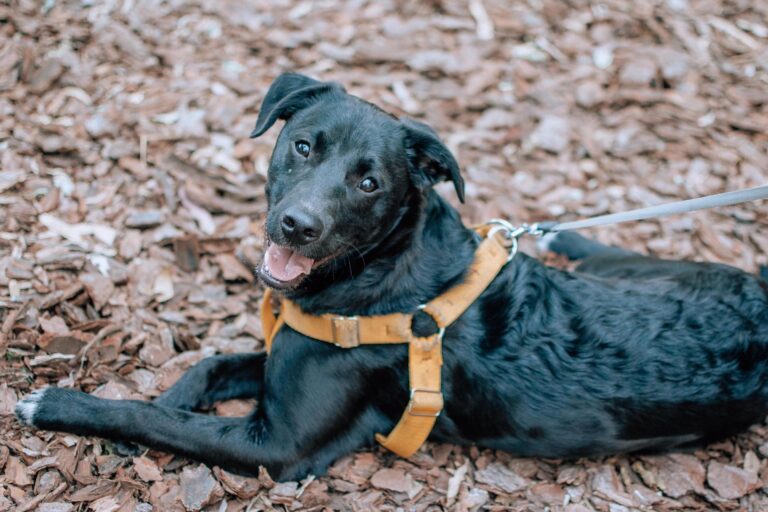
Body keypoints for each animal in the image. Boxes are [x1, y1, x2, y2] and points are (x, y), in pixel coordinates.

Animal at [15, 72, 768, 480]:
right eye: (302, 146)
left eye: (370, 182)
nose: (297, 226)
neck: (377, 274)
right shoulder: (291, 350)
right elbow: (203, 371)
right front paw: (162, 400)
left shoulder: (280, 445)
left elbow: (151, 417)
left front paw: (61, 406)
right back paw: (561, 234)